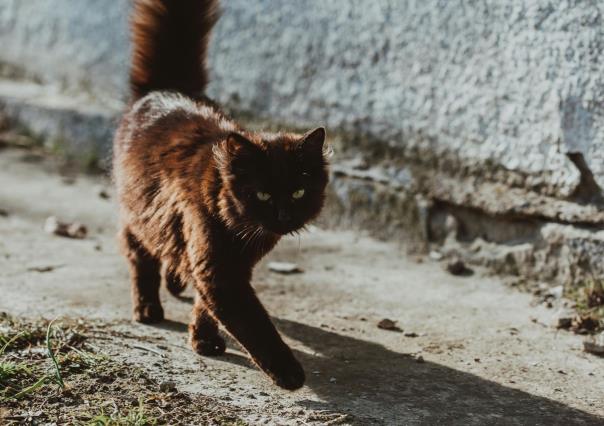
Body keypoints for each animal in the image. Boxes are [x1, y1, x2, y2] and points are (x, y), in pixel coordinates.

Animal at [113, 0, 330, 390]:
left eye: (298, 191)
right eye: (262, 194)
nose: (283, 217)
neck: (245, 231)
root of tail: (165, 88)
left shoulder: (230, 265)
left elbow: (205, 304)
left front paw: (203, 339)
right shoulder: (219, 269)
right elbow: (254, 325)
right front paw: (288, 373)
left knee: (170, 253)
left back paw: (174, 283)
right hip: (138, 212)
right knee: (141, 257)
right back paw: (147, 309)